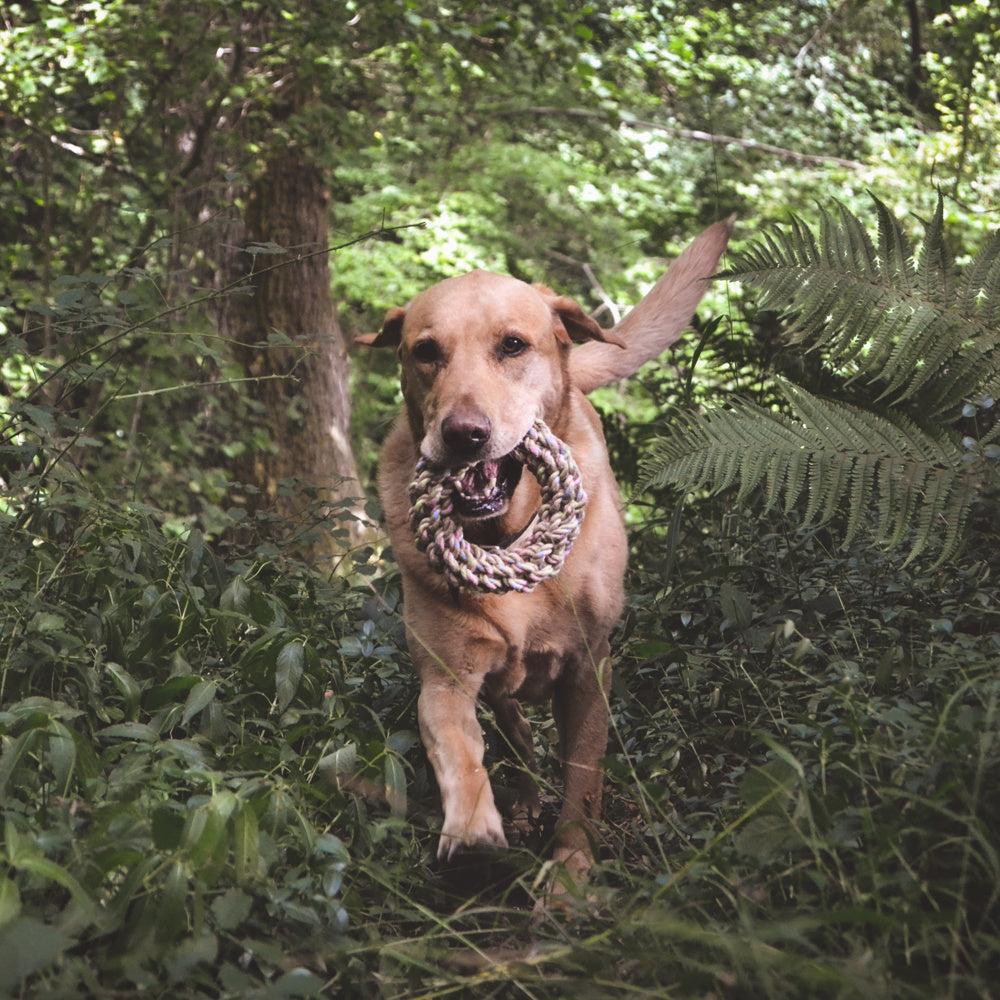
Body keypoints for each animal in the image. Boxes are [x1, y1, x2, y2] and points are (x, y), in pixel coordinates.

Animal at [360, 219, 736, 884]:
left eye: (513, 345)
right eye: (425, 351)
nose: (463, 434)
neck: (504, 534)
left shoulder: (591, 672)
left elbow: (582, 782)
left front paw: (569, 873)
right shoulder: (445, 681)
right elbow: (459, 753)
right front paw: (473, 830)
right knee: (514, 734)